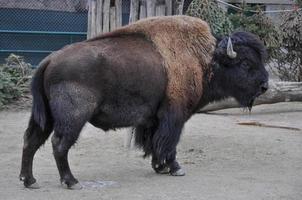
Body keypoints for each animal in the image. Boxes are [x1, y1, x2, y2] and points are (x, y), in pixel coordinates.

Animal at [19, 15, 268, 189]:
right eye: (246, 63)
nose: (264, 86)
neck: (205, 58)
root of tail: (49, 60)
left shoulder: (153, 119)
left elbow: (154, 142)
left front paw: (159, 167)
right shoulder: (174, 116)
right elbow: (169, 143)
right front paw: (175, 168)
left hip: (45, 117)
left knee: (31, 141)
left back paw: (29, 180)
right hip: (73, 118)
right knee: (59, 144)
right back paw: (71, 181)